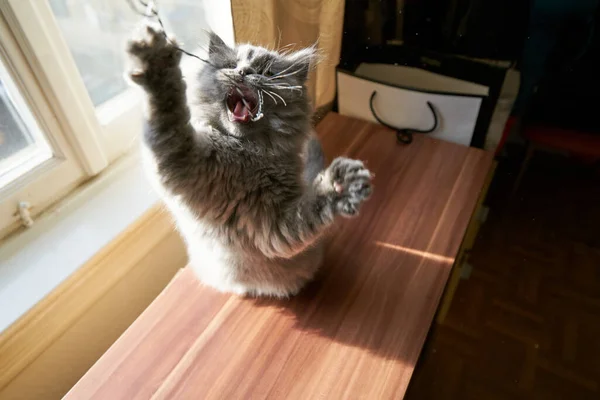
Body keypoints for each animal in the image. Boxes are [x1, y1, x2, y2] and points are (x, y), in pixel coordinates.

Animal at [126, 22, 372, 296]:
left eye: (267, 72)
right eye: (231, 65)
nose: (244, 72)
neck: (242, 152)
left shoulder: (274, 226)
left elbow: (311, 208)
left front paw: (341, 185)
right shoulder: (177, 157)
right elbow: (167, 112)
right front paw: (155, 62)